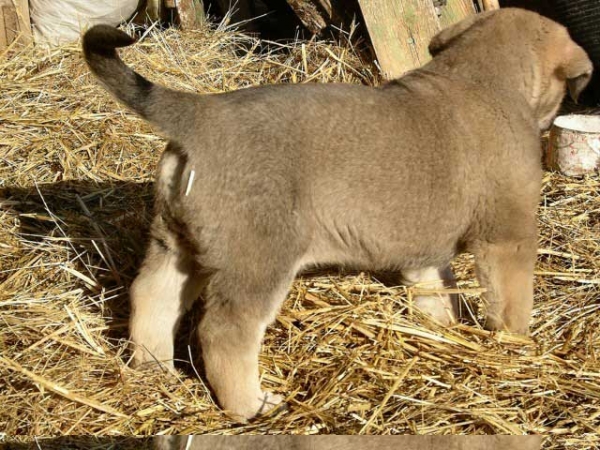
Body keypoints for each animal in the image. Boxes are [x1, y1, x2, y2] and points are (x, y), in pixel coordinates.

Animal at [82, 8, 592, 420]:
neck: (479, 77)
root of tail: (200, 115)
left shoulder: (423, 251)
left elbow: (435, 293)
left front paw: (442, 329)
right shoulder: (508, 238)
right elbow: (512, 302)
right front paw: (517, 344)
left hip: (175, 244)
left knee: (150, 297)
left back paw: (153, 371)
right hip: (259, 260)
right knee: (225, 332)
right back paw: (251, 406)